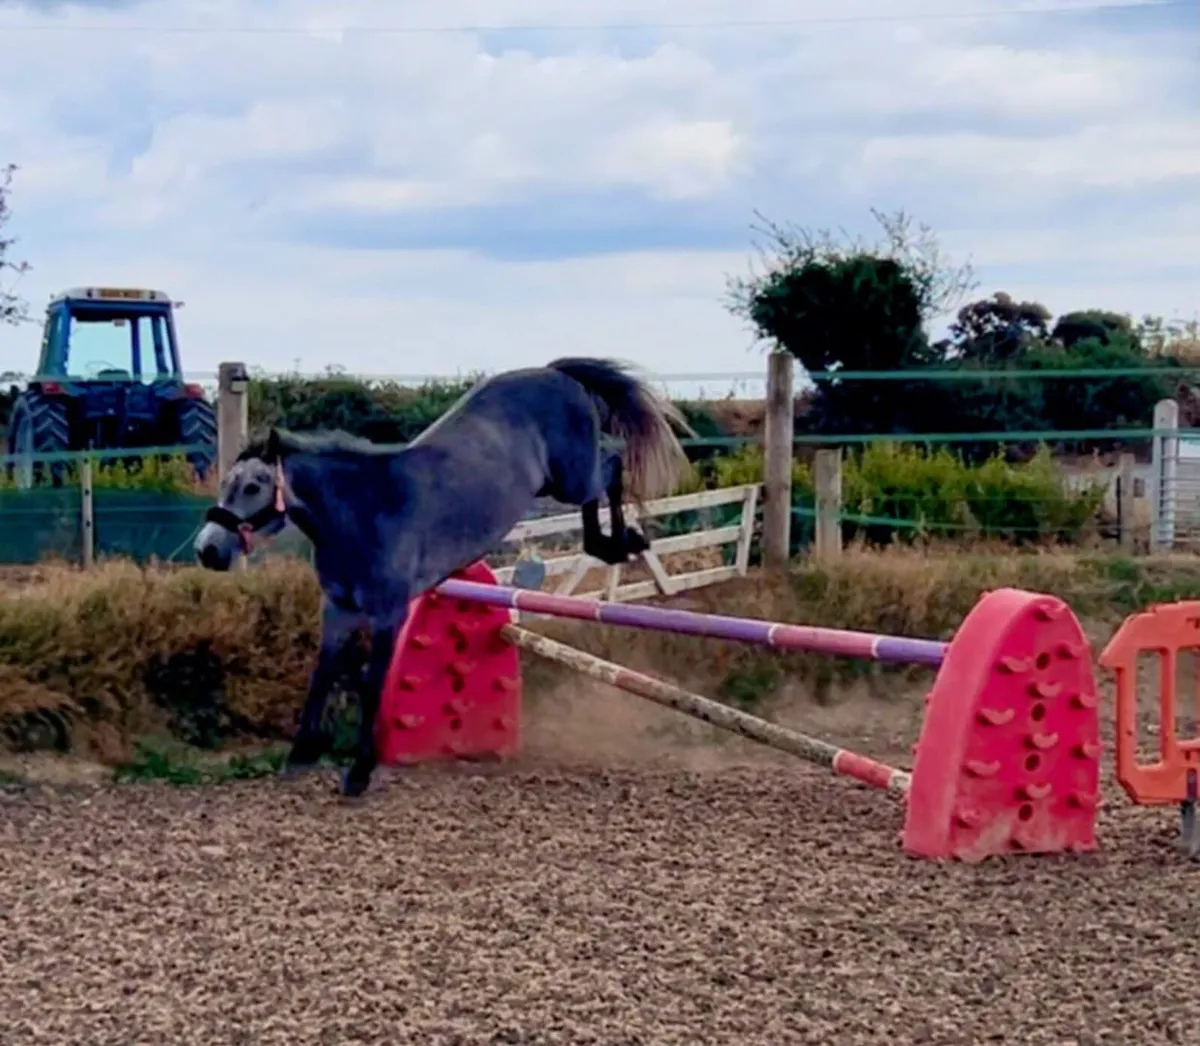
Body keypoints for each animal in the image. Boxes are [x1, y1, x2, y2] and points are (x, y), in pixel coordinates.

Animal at [193, 357, 694, 797]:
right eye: (226, 484)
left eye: (253, 486)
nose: (207, 549)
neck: (362, 511)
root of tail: (553, 372)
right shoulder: (338, 610)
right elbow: (323, 676)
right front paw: (300, 757)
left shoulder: (388, 614)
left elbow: (372, 685)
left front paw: (359, 773)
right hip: (559, 481)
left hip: (572, 477)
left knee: (611, 465)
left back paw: (621, 542)